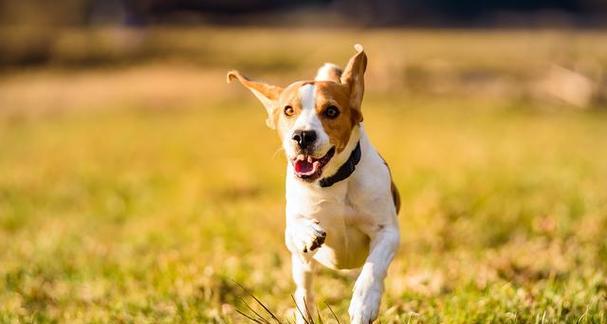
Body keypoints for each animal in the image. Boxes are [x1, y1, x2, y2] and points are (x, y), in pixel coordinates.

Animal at [227, 44, 400, 322]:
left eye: (331, 111)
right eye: (288, 110)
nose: (302, 136)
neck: (334, 181)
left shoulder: (388, 232)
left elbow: (373, 269)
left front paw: (364, 304)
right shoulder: (291, 230)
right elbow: (296, 225)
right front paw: (308, 231)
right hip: (302, 266)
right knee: (305, 292)